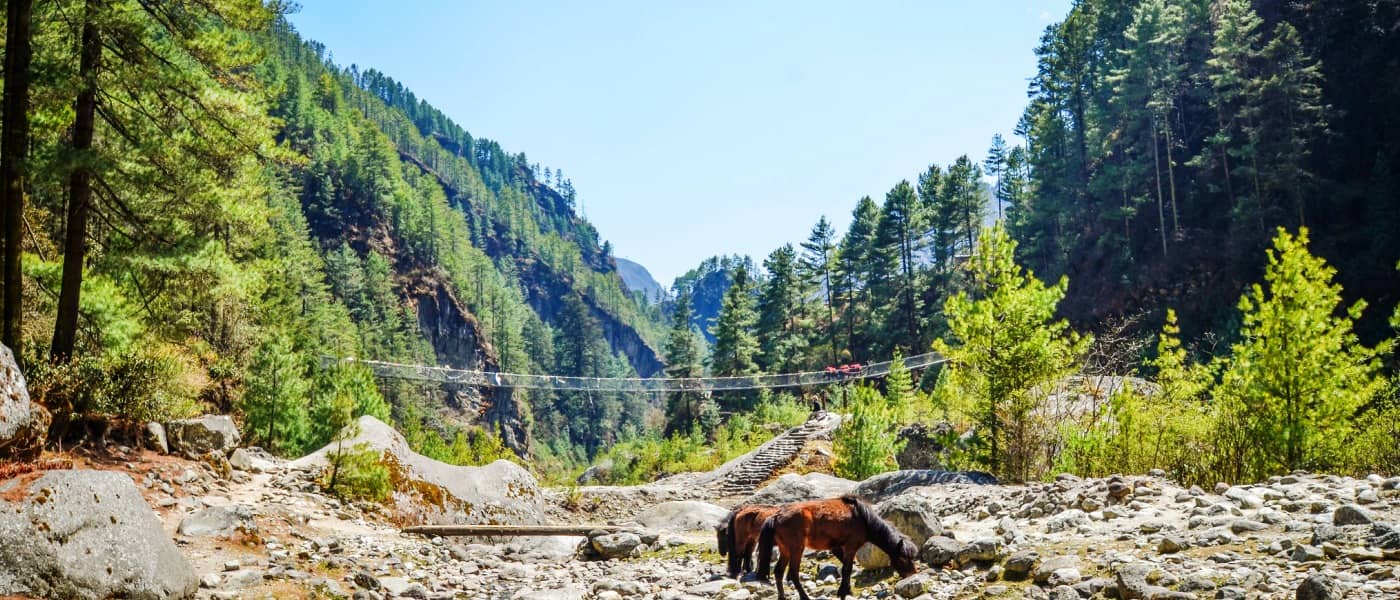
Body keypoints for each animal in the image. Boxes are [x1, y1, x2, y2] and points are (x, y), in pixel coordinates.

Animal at [756, 495, 918, 598]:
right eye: (903, 558)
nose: (913, 574)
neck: (863, 518)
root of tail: (776, 516)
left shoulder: (839, 548)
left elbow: (847, 568)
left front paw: (847, 590)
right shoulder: (850, 547)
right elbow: (847, 569)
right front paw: (843, 592)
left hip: (785, 550)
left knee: (778, 572)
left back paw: (782, 597)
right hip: (796, 549)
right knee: (793, 574)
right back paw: (804, 597)